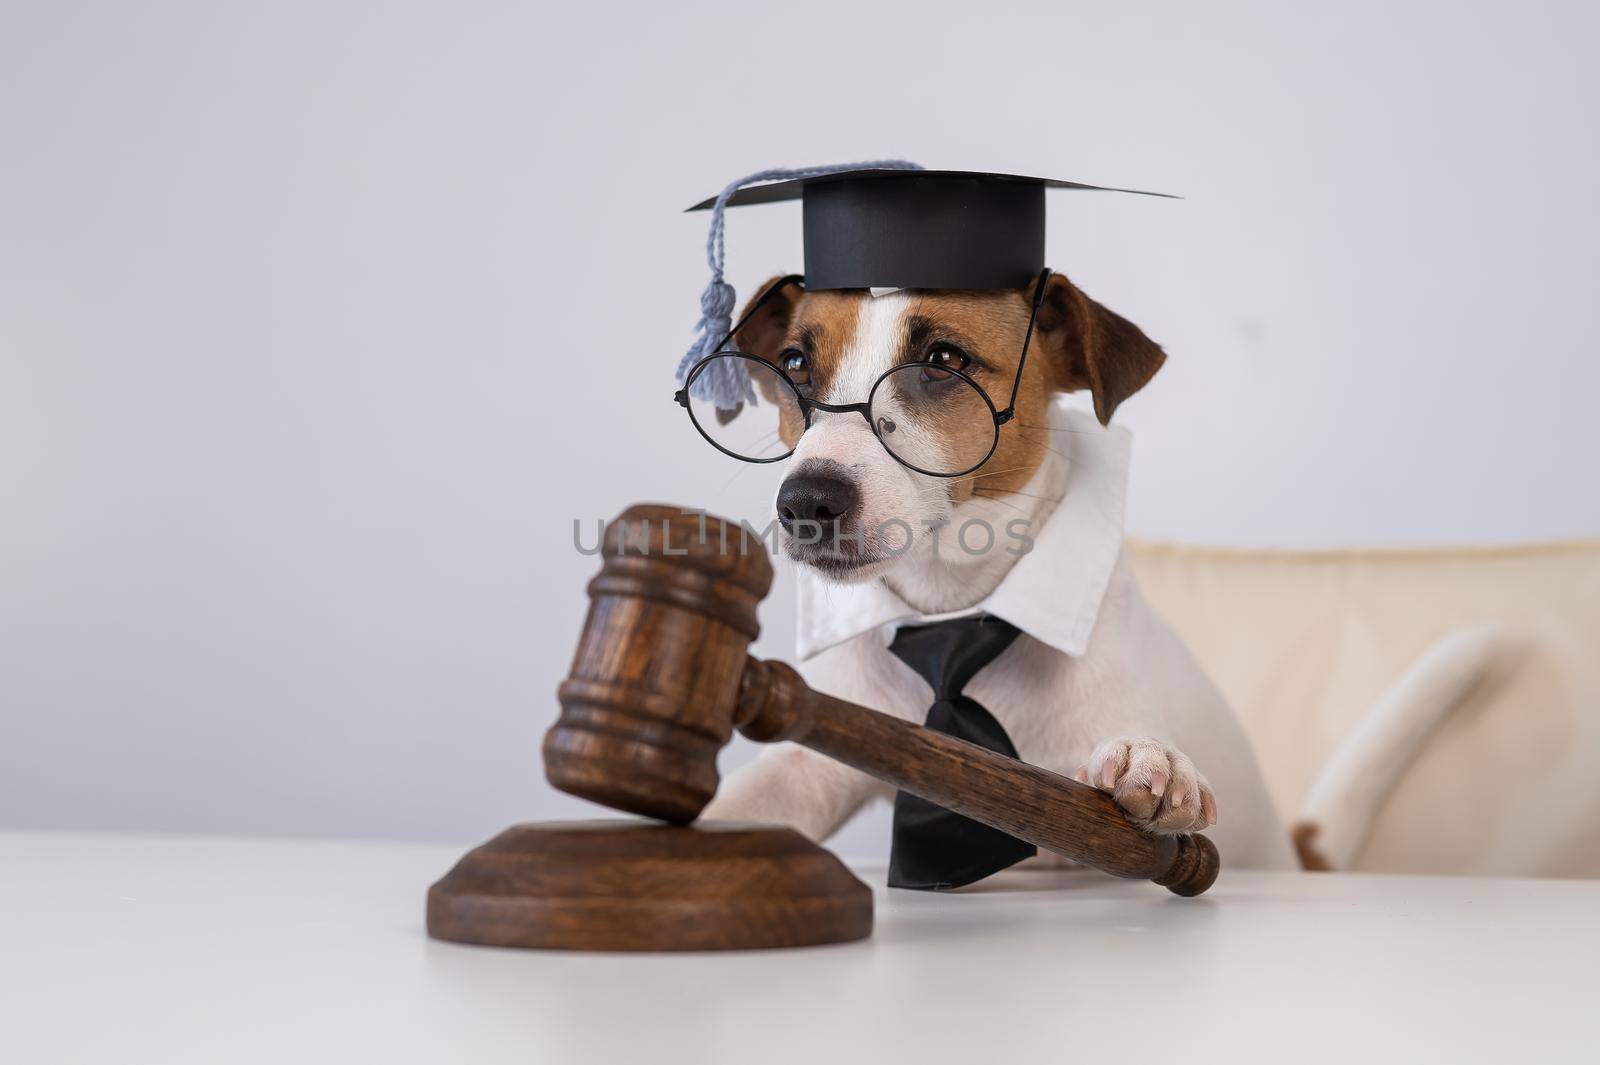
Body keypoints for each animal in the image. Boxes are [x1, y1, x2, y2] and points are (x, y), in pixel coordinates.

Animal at [704, 271, 1484, 869]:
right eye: (795, 364)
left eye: (944, 357)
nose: (806, 502)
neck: (953, 601)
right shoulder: (823, 756)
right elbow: (749, 800)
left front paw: (1153, 762)